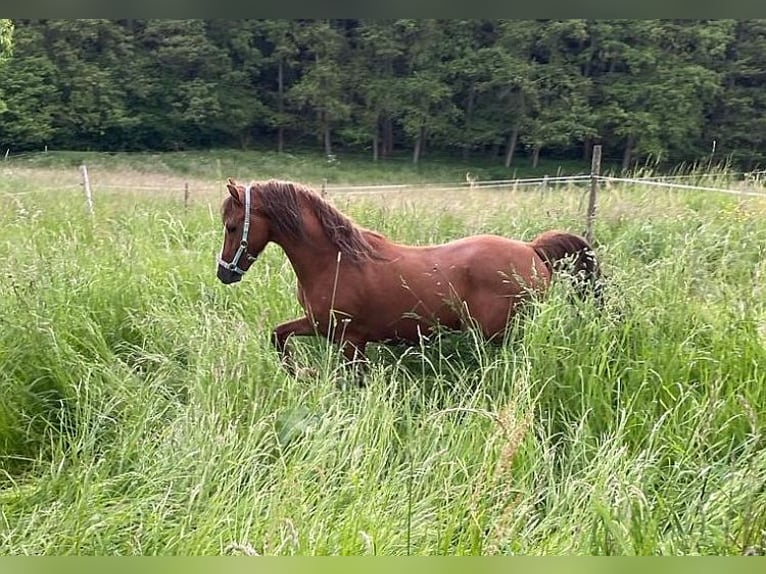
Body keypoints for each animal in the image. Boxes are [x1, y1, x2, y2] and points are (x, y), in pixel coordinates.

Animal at [216, 178, 602, 377]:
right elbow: (278, 336)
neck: (334, 260)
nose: (224, 273)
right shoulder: (320, 325)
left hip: (502, 334)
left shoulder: (349, 340)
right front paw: (302, 373)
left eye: (232, 226)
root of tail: (532, 250)